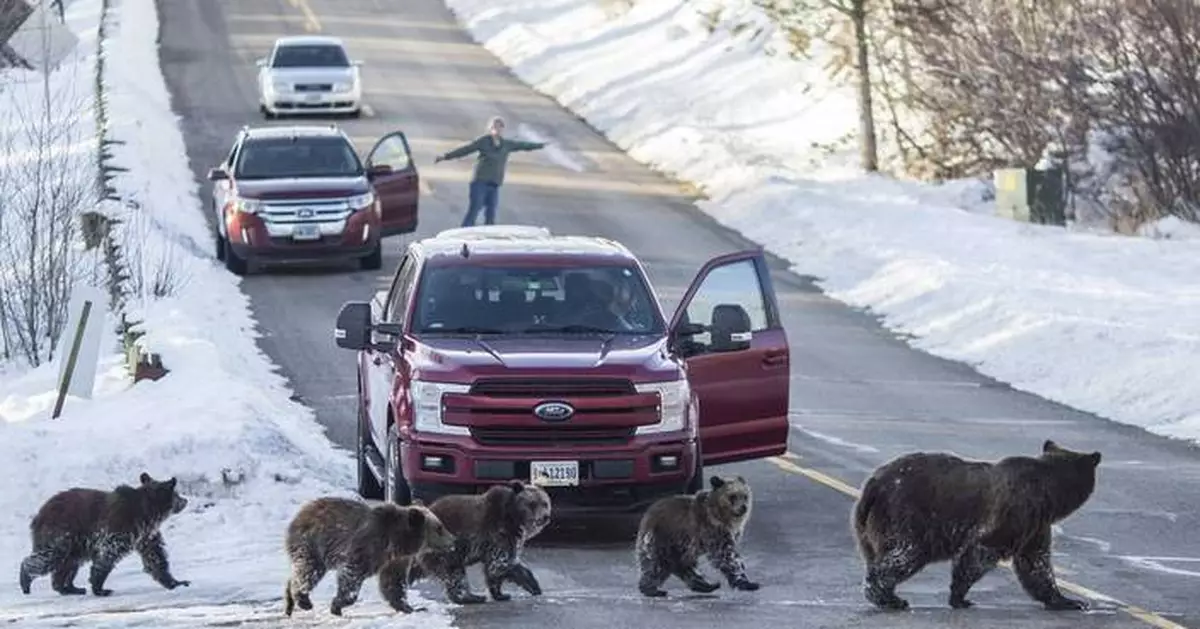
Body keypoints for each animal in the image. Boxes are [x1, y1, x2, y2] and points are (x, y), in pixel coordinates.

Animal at [18, 472, 190, 597]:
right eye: (177, 494)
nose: (185, 500)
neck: (147, 512)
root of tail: (39, 513)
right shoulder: (121, 527)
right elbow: (107, 554)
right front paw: (100, 588)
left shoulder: (145, 535)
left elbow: (156, 558)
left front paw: (177, 582)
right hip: (61, 533)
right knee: (48, 557)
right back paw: (26, 581)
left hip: (75, 543)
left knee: (68, 563)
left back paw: (70, 588)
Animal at [282, 496, 456, 617]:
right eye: (439, 528)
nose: (453, 541)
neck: (396, 541)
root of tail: (301, 512)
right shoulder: (366, 546)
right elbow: (351, 575)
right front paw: (338, 605)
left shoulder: (395, 561)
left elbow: (393, 583)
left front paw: (409, 607)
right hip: (312, 543)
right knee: (309, 571)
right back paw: (303, 600)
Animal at [404, 480, 552, 605]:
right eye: (532, 503)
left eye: (545, 503)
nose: (545, 517)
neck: (514, 518)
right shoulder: (499, 534)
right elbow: (500, 565)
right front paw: (532, 585)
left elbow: (495, 570)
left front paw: (501, 594)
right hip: (446, 546)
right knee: (454, 573)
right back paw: (471, 597)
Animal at [852, 439, 1102, 612]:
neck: (1050, 495)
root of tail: (873, 485)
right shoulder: (1015, 513)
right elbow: (980, 552)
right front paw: (960, 597)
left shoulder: (1036, 527)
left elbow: (1036, 564)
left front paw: (1068, 601)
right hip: (907, 515)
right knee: (905, 554)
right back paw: (890, 598)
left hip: (867, 527)